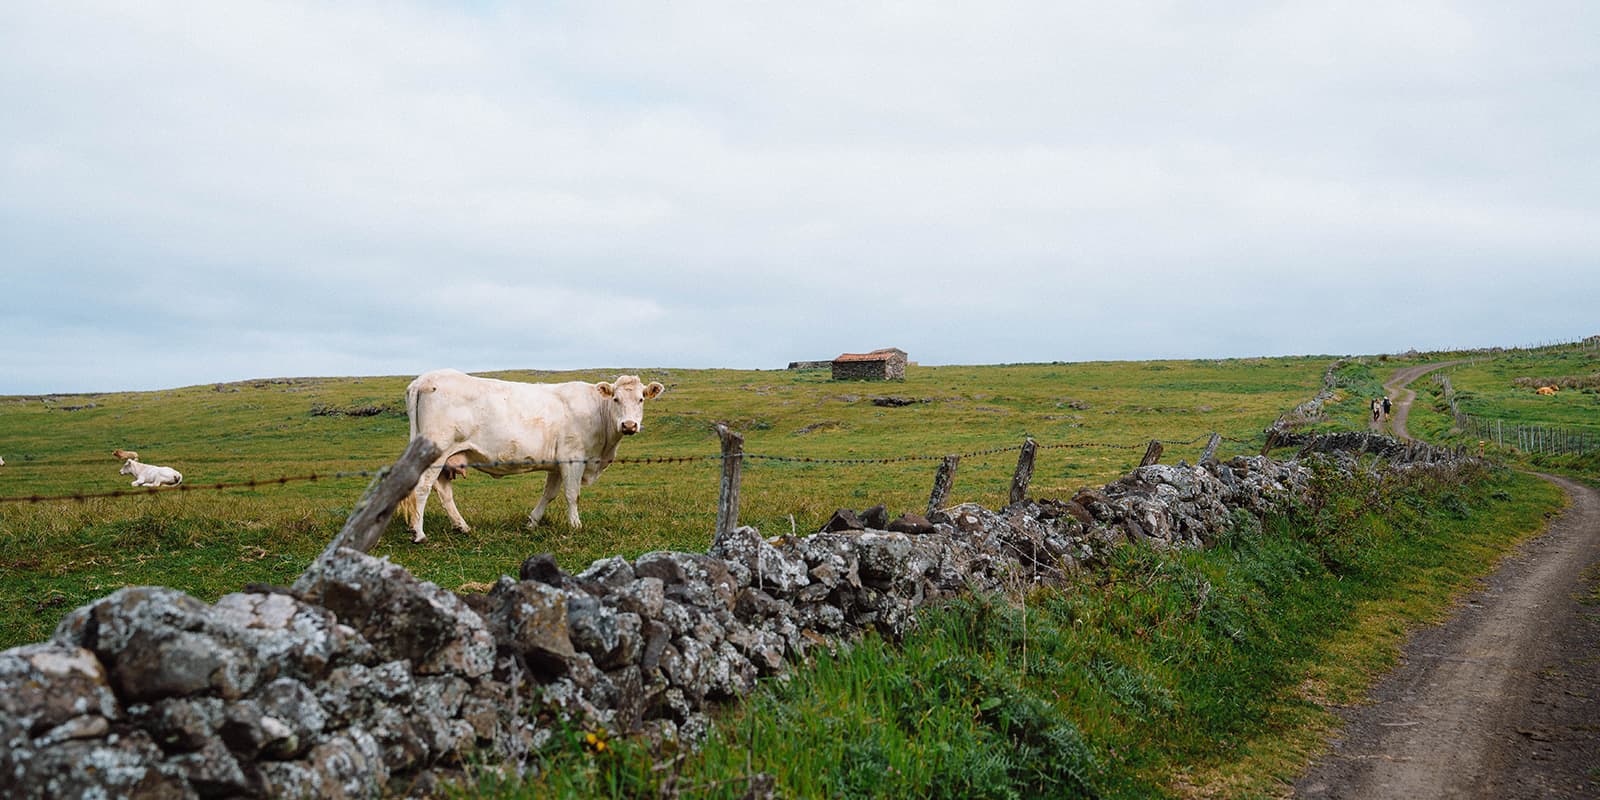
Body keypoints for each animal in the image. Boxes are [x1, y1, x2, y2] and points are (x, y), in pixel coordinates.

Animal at [397, 369, 665, 544]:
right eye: (616, 399)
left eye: (641, 399)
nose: (629, 425)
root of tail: (424, 379)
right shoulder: (573, 457)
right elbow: (572, 494)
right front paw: (575, 525)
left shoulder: (557, 464)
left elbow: (550, 494)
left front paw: (532, 522)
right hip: (436, 452)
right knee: (423, 488)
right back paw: (419, 533)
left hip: (448, 457)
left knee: (444, 492)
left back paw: (462, 527)